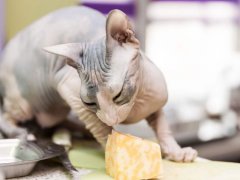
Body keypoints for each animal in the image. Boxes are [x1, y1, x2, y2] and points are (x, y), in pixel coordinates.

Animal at [0, 6, 197, 162]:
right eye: (90, 102)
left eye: (118, 94)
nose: (111, 118)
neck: (137, 101)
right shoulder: (69, 88)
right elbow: (102, 129)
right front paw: (115, 152)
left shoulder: (155, 103)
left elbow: (163, 128)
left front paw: (176, 152)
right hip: (24, 104)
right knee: (6, 116)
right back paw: (21, 133)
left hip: (56, 110)